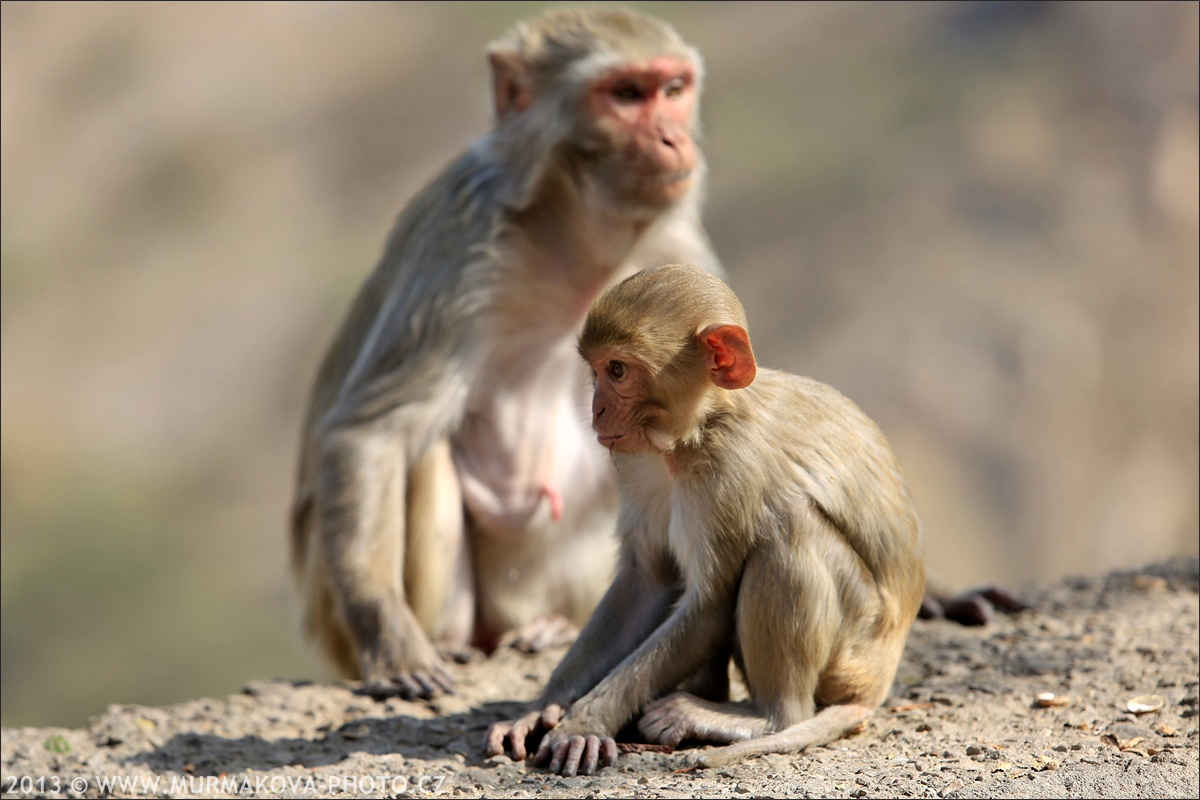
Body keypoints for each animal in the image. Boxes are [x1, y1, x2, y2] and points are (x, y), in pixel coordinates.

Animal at [290, 6, 720, 695]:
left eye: (674, 90)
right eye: (627, 94)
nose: (674, 141)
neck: (580, 238)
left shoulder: (677, 246)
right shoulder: (463, 237)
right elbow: (371, 432)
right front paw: (391, 637)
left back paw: (549, 629)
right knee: (424, 450)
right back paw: (454, 641)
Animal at [487, 263, 926, 777]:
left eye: (618, 370)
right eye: (595, 370)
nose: (596, 410)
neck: (693, 435)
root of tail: (878, 684)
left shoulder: (729, 467)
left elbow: (709, 606)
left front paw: (583, 724)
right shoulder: (634, 460)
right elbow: (647, 582)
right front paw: (543, 708)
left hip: (855, 648)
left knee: (791, 528)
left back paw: (757, 715)